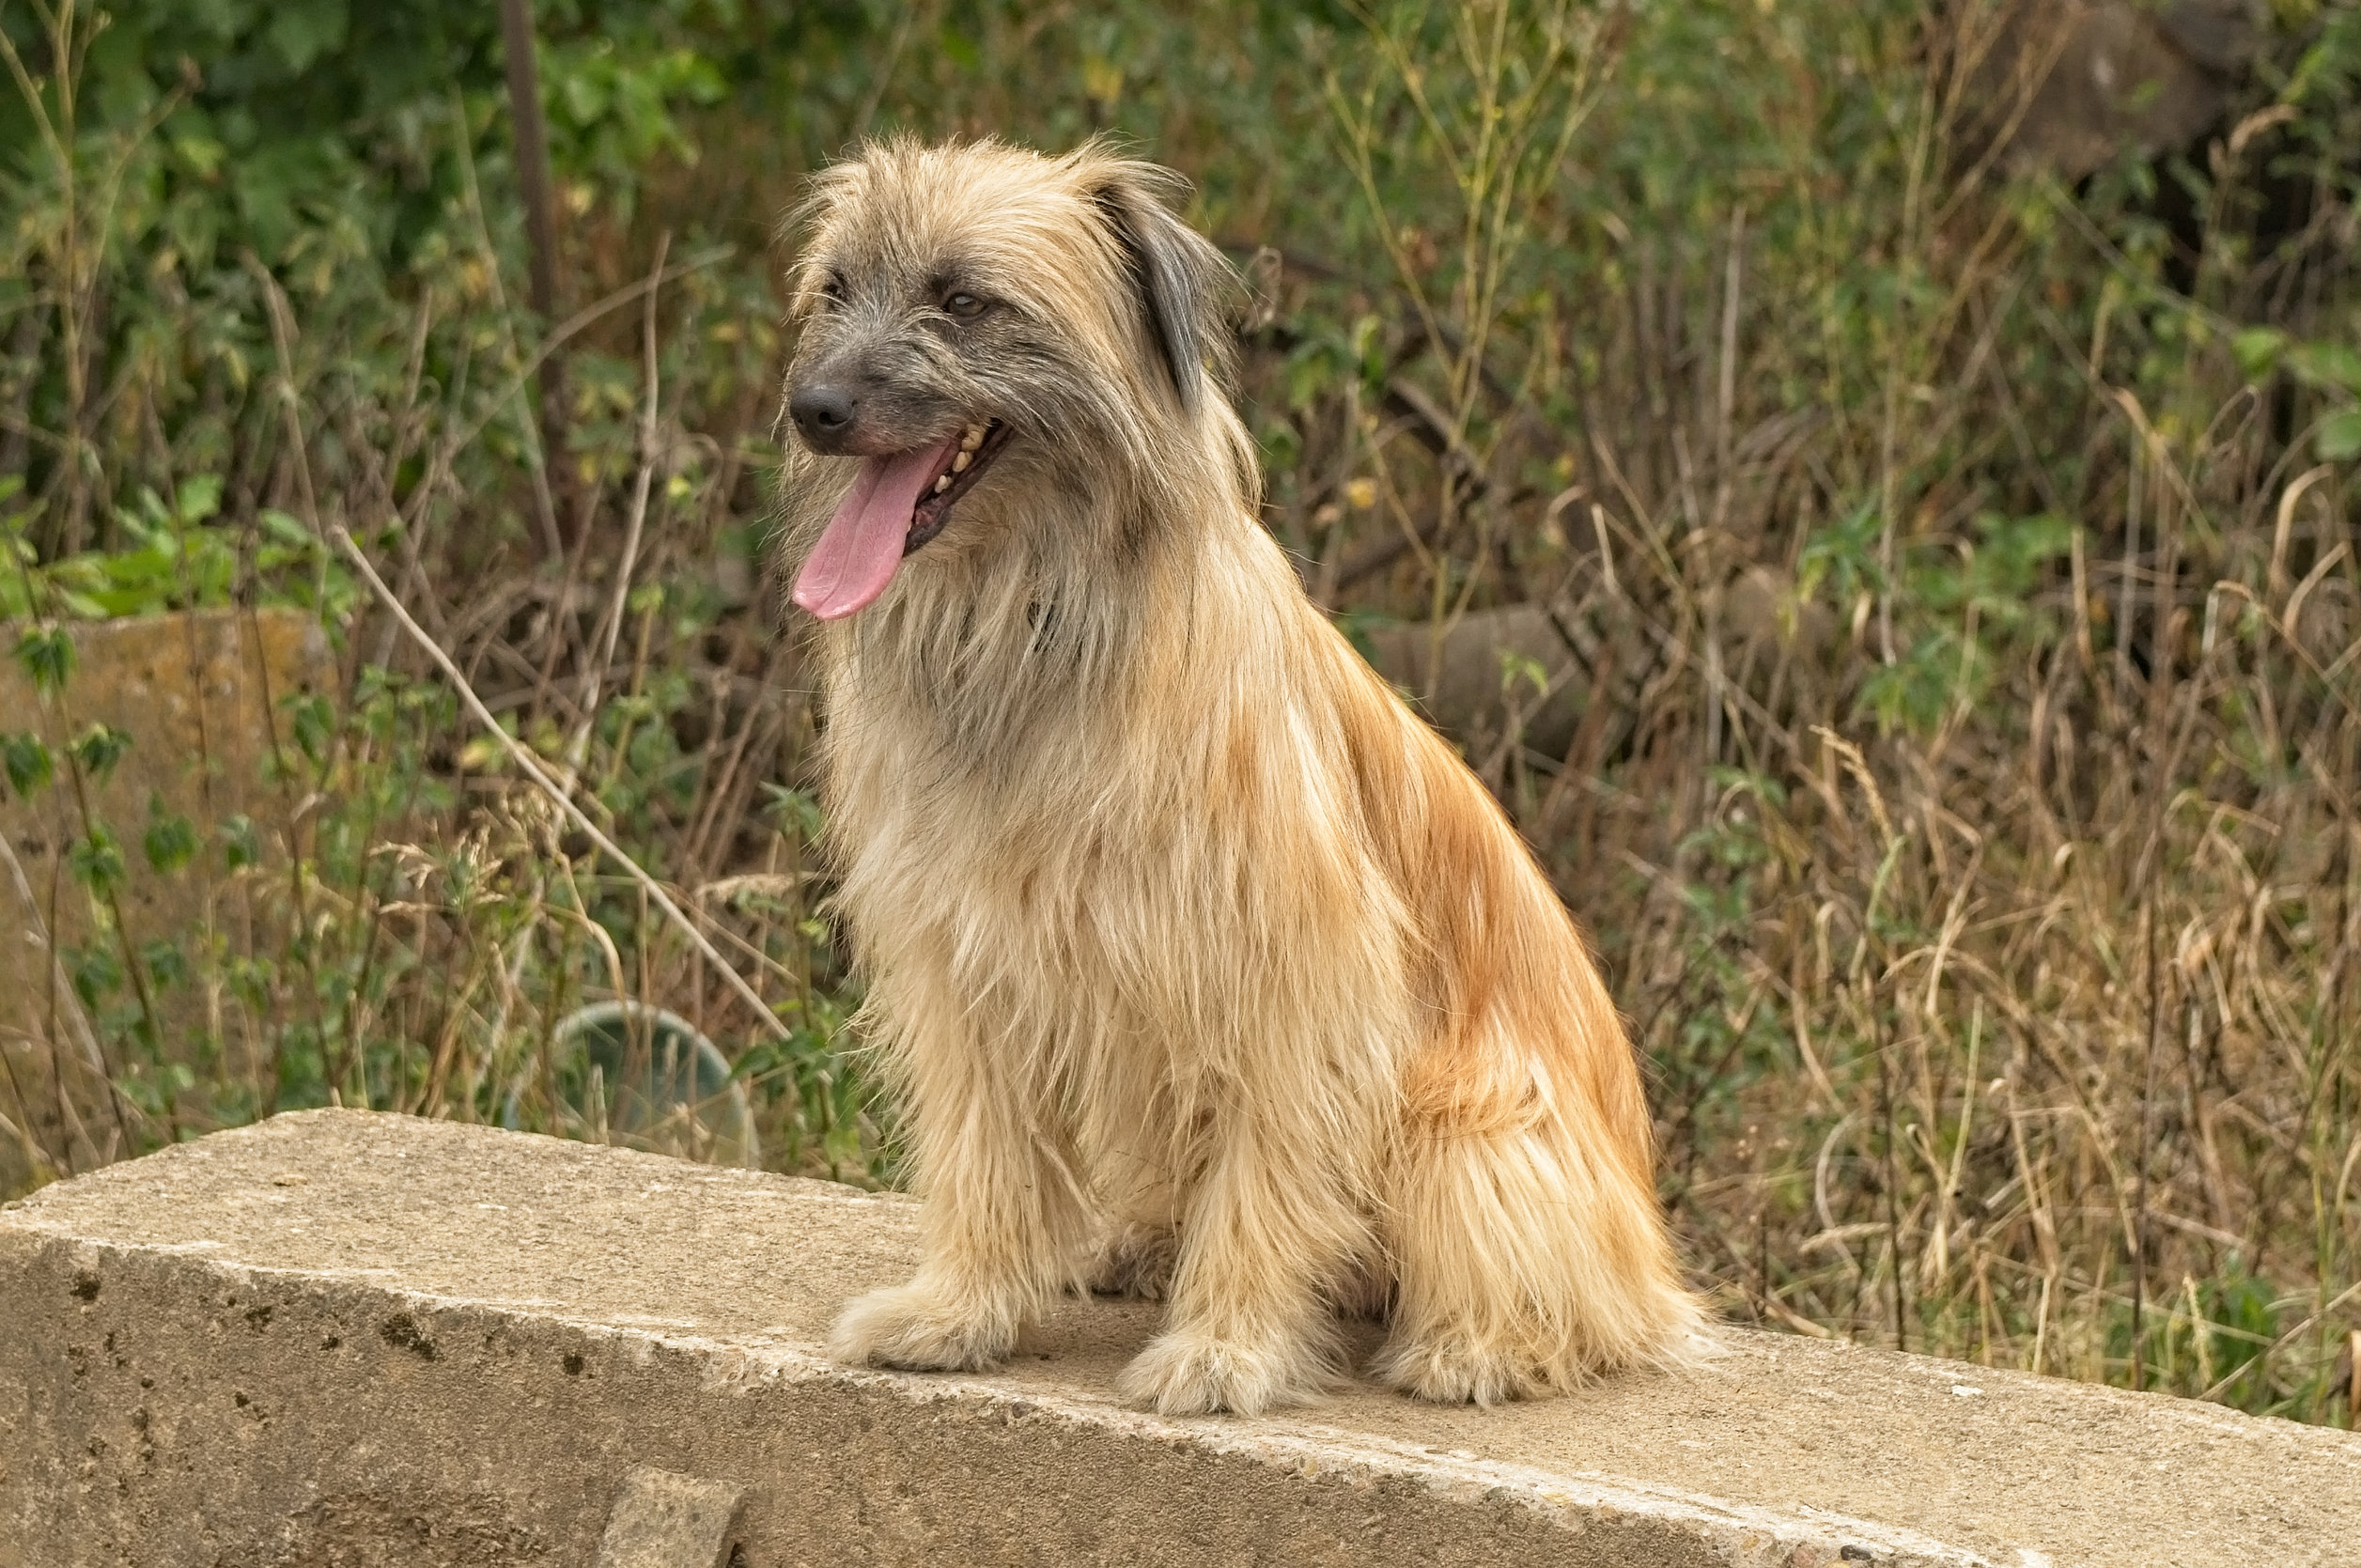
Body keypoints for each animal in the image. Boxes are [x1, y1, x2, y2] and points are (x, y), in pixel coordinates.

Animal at [784, 141, 1709, 1417]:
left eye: (964, 300)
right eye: (834, 289)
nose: (812, 408)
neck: (1035, 619)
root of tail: (1651, 1251)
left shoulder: (1291, 967)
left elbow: (1267, 1173)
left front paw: (1225, 1348)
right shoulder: (966, 959)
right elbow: (985, 1149)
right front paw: (959, 1310)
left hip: (1461, 1127)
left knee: (1568, 1296)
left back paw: (1477, 1346)